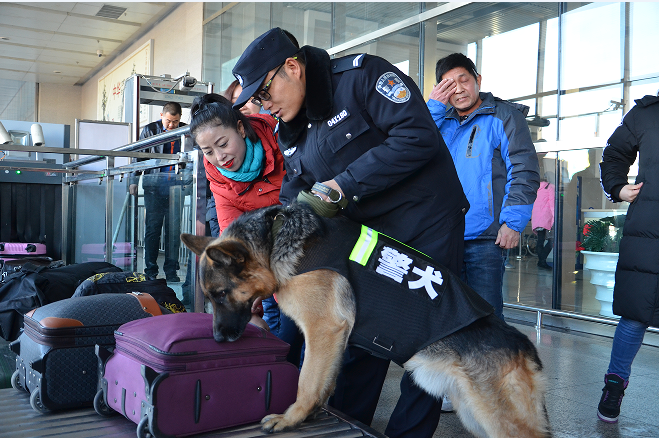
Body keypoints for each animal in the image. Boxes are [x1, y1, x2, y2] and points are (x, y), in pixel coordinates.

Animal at [180, 204, 552, 436]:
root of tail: (524, 346)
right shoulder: (334, 340)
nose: (218, 339)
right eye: (210, 297)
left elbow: (307, 380)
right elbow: (324, 382)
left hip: (496, 419)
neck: (275, 239)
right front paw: (311, 413)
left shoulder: (323, 330)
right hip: (473, 413)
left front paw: (290, 418)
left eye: (220, 295)